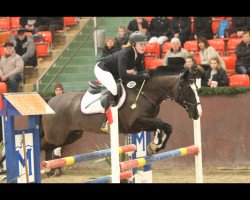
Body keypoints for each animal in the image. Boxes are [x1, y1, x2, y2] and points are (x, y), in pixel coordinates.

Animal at [40, 67, 201, 161]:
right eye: (188, 90)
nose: (197, 113)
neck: (145, 93)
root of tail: (50, 101)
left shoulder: (145, 122)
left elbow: (165, 125)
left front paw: (155, 145)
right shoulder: (135, 124)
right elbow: (161, 123)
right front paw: (155, 144)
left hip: (72, 135)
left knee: (48, 147)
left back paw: (48, 168)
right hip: (57, 136)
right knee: (44, 145)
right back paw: (45, 168)